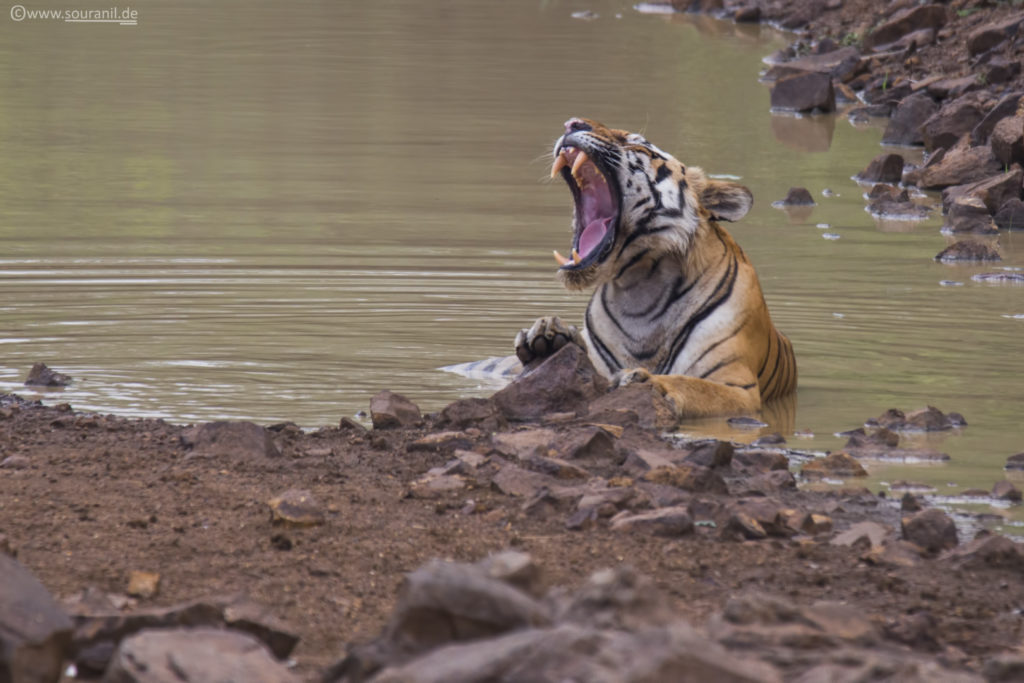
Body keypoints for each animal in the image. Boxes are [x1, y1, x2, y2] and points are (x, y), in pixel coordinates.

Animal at [516, 117, 794, 419]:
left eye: (637, 143)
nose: (572, 123)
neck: (639, 289)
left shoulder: (740, 389)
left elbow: (691, 384)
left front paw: (645, 378)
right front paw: (548, 332)